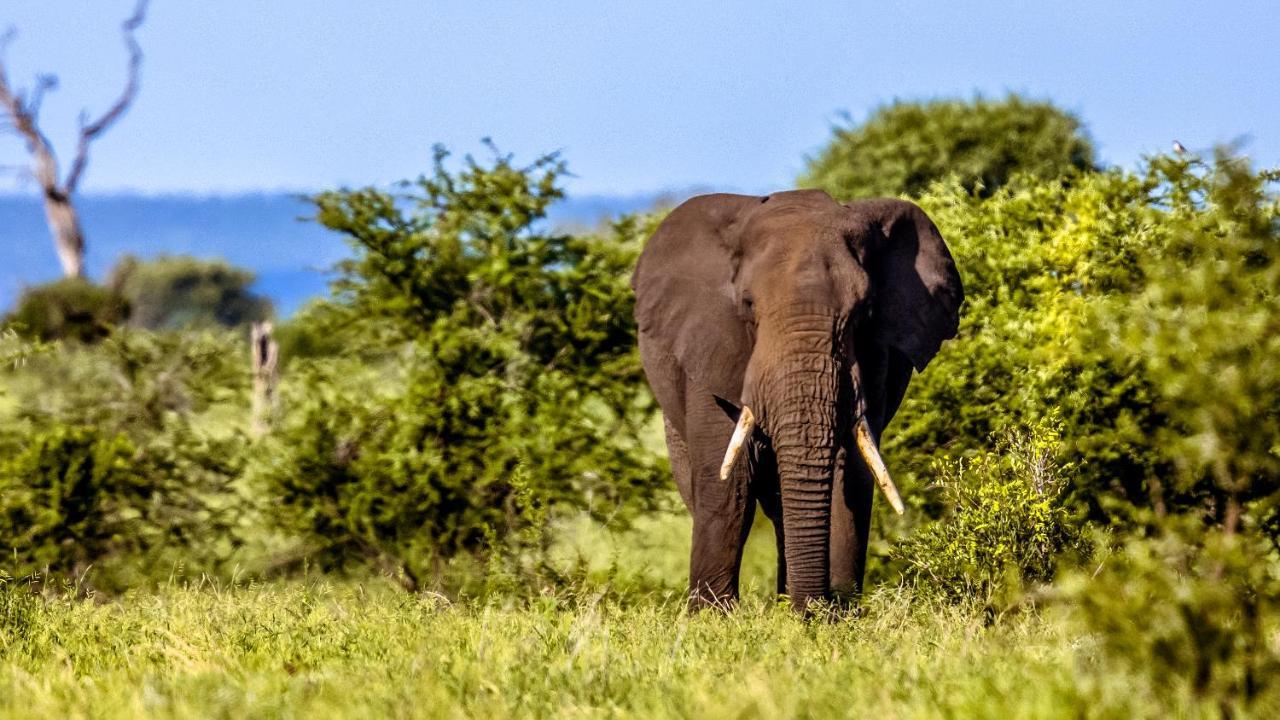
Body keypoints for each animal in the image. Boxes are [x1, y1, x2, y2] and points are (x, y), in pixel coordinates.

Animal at [629, 188, 962, 607]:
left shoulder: (873, 361)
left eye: (864, 311)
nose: (814, 607)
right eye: (748, 305)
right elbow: (730, 483)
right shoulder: (709, 348)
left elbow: (850, 471)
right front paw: (714, 616)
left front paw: (832, 613)